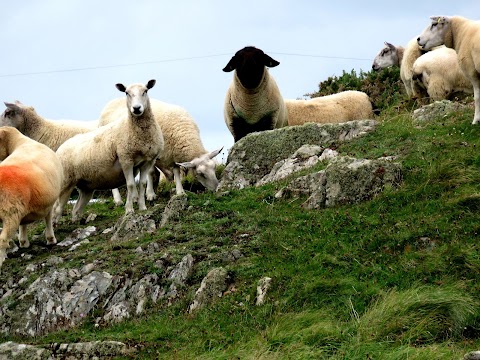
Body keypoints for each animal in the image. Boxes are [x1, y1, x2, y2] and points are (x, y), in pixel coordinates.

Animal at [0, 125, 63, 268]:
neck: (21, 142)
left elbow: (23, 223)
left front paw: (23, 242)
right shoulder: (49, 202)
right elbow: (48, 219)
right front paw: (51, 239)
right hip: (10, 213)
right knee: (3, 239)